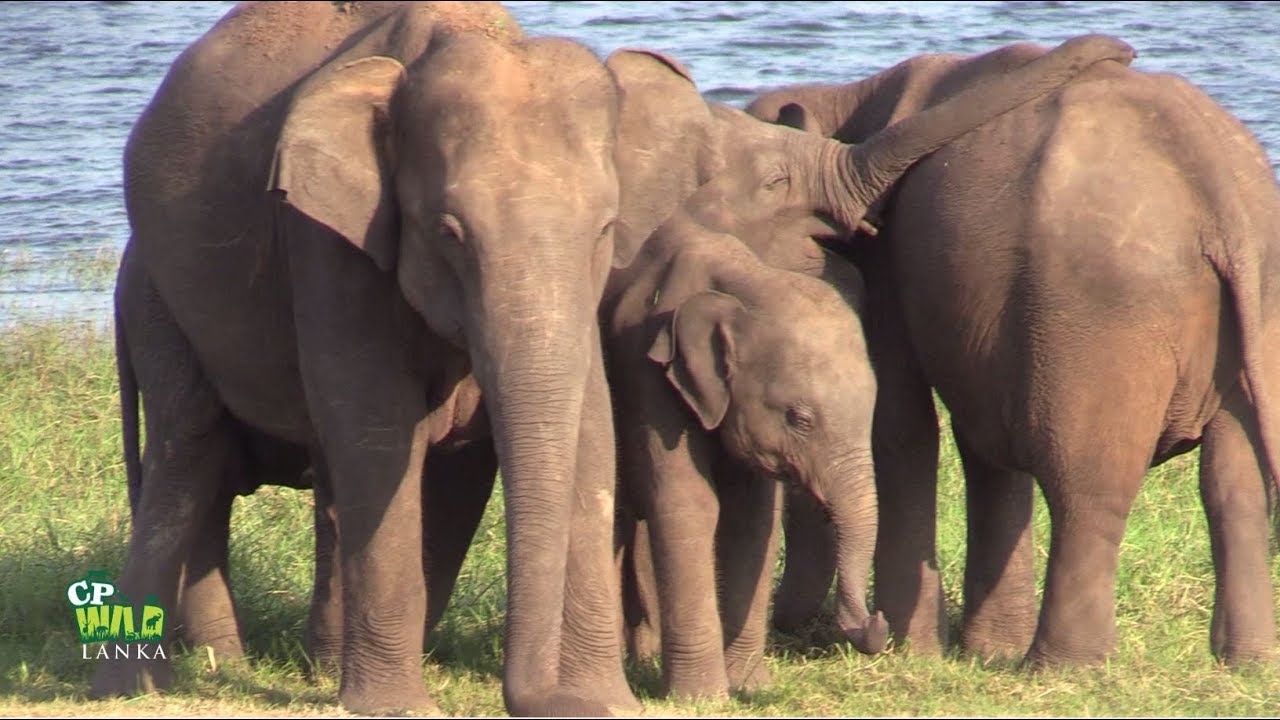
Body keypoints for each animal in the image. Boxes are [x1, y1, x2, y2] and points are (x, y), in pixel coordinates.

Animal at [100, 2, 636, 715]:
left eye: (607, 228)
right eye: (448, 232)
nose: (549, 697)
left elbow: (593, 426)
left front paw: (605, 700)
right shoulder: (323, 237)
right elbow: (374, 427)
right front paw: (397, 707)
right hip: (159, 298)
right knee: (188, 447)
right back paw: (150, 682)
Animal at [597, 34, 1138, 699]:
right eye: (775, 180)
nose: (1122, 52)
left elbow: (752, 517)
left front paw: (751, 688)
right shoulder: (646, 365)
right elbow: (687, 504)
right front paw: (704, 697)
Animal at [746, 40, 1280, 667]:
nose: (795, 629)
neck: (843, 101)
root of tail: (1214, 179)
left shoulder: (886, 269)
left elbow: (901, 427)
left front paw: (913, 650)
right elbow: (982, 450)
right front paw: (982, 653)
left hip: (1102, 313)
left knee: (1088, 486)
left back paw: (1061, 668)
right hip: (1258, 306)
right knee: (1233, 483)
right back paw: (1246, 661)